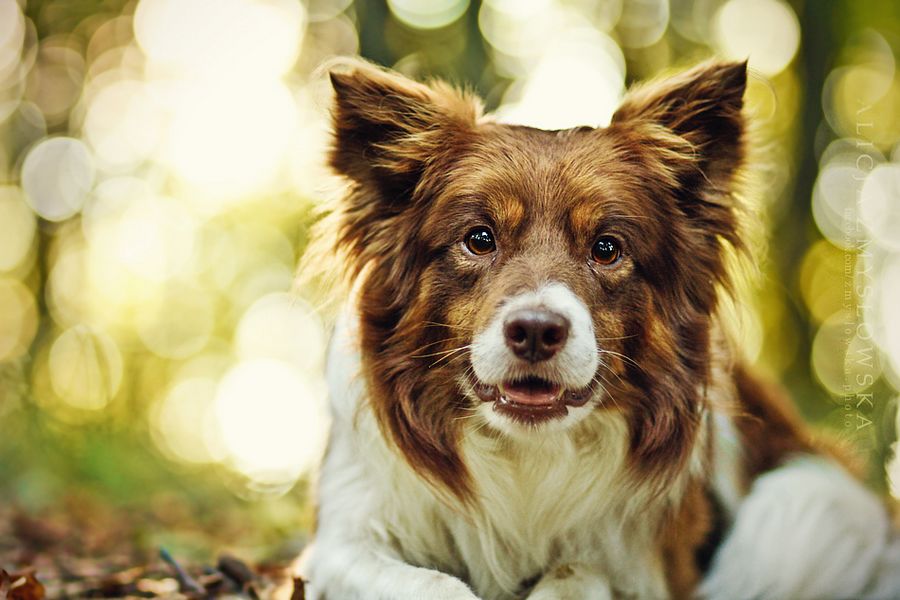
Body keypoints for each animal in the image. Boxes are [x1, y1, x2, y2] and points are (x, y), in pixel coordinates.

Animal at [298, 57, 900, 600]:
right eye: (479, 238)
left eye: (607, 248)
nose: (535, 331)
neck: (526, 454)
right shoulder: (340, 541)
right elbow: (434, 584)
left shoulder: (651, 561)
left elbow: (577, 572)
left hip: (795, 509)